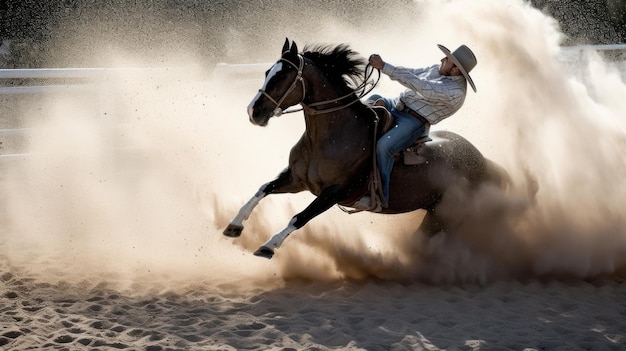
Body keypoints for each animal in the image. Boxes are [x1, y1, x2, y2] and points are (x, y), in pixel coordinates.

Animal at [222, 38, 504, 260]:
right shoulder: (297, 178)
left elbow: (299, 217)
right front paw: (234, 226)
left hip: (440, 217)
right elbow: (263, 189)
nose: (253, 112)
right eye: (267, 71)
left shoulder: (335, 192)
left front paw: (268, 246)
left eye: (283, 76)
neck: (331, 138)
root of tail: (484, 161)